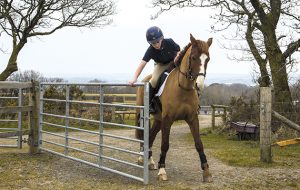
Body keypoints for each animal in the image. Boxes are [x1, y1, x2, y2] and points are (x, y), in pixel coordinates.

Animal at [135, 34, 212, 183]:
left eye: (208, 59)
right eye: (193, 57)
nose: (199, 85)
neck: (183, 88)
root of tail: (145, 80)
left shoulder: (192, 118)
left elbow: (199, 144)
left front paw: (206, 172)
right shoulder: (168, 119)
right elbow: (165, 144)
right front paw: (162, 170)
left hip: (158, 120)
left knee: (151, 136)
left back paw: (150, 161)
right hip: (144, 115)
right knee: (143, 135)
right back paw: (142, 157)